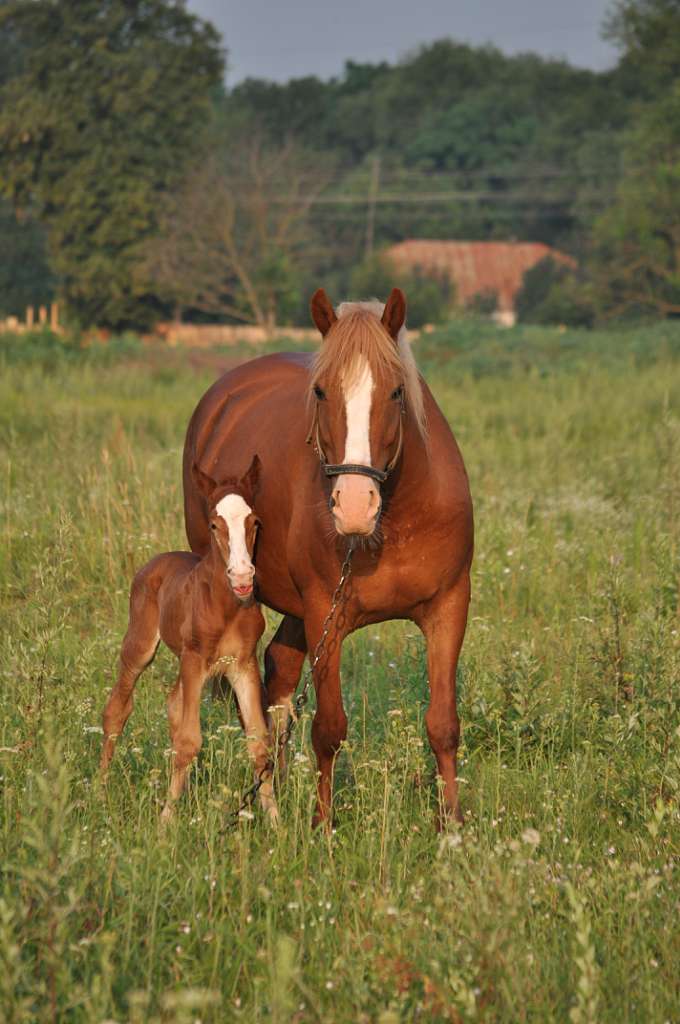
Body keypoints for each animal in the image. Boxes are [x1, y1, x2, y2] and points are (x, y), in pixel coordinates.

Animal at [100, 456, 276, 823]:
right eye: (213, 525)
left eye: (254, 522)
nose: (242, 577)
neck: (227, 605)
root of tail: (157, 559)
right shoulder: (195, 659)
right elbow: (188, 740)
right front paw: (166, 822)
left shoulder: (243, 664)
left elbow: (258, 741)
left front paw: (276, 821)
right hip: (140, 645)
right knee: (117, 710)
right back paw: (99, 788)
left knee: (172, 703)